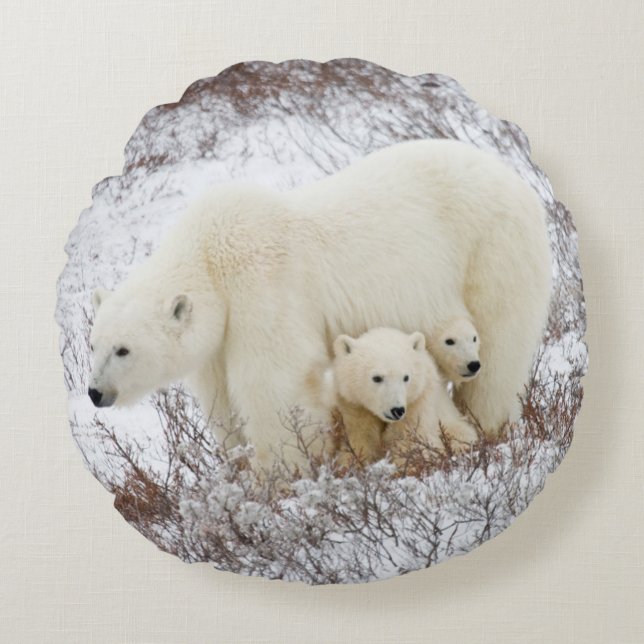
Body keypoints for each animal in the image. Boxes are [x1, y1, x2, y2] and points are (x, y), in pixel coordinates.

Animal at [323, 327, 478, 468]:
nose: (397, 410)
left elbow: (412, 441)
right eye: (377, 378)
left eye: (406, 377)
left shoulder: (418, 404)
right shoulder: (355, 406)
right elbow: (360, 439)